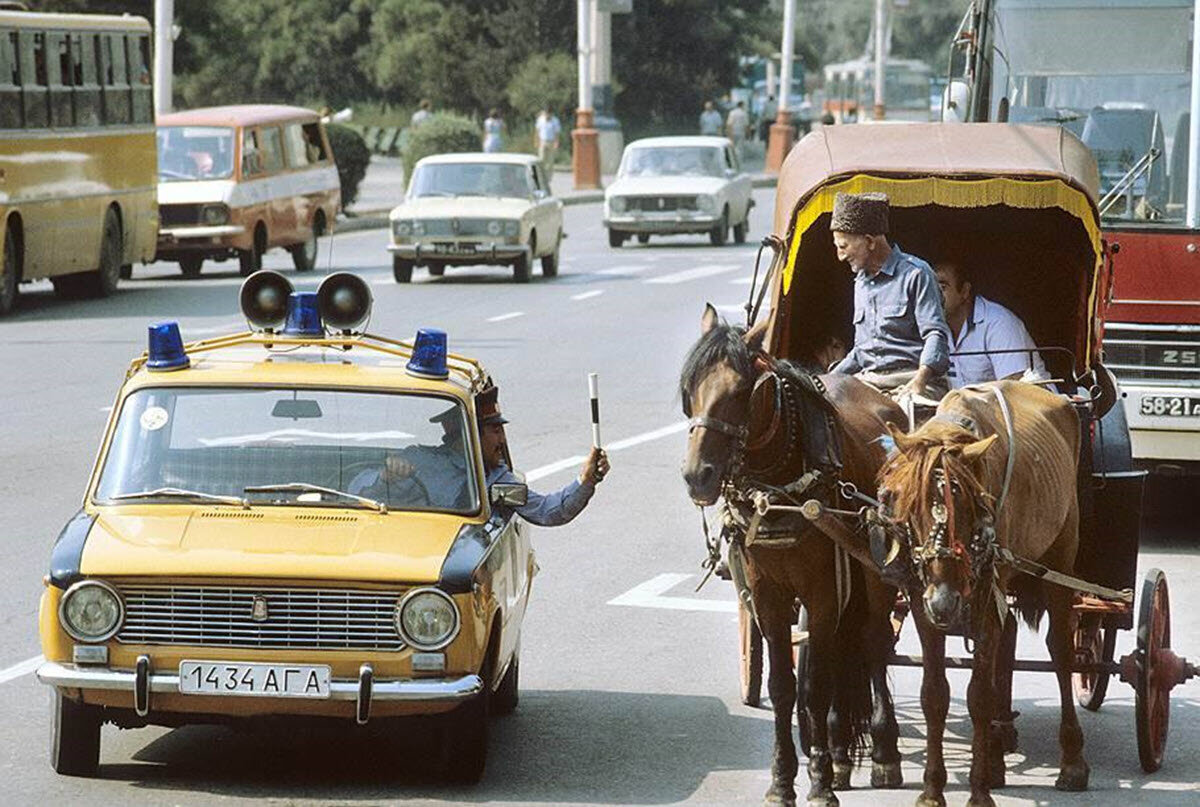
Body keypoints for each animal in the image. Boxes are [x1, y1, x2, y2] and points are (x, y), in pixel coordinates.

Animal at [681, 303, 902, 806]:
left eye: (739, 392)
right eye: (689, 391)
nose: (697, 476)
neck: (779, 483)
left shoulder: (822, 591)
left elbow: (815, 687)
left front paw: (819, 783)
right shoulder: (768, 594)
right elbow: (784, 687)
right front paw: (784, 780)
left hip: (877, 570)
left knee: (874, 643)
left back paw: (883, 751)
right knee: (845, 649)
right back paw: (839, 750)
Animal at [878, 381, 1094, 806]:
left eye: (968, 503)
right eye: (907, 502)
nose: (944, 601)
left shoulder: (982, 600)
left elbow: (979, 695)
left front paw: (978, 792)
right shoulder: (921, 599)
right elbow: (935, 695)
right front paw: (933, 789)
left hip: (1061, 551)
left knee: (1060, 652)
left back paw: (1071, 758)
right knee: (1002, 654)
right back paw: (997, 751)